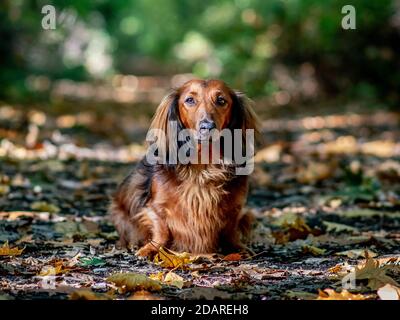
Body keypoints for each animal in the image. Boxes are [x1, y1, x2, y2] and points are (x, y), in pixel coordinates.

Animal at [109, 79, 260, 258]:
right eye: (190, 100)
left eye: (221, 100)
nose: (207, 127)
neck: (204, 167)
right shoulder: (154, 206)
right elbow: (161, 229)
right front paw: (151, 248)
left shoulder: (236, 208)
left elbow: (231, 229)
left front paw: (236, 247)